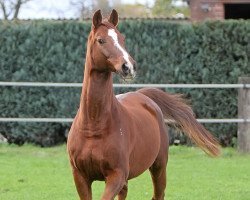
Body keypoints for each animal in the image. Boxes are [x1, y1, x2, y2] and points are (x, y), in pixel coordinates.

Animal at [67, 9, 221, 200]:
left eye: (122, 38)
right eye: (100, 40)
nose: (128, 67)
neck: (94, 127)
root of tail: (142, 95)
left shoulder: (116, 175)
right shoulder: (80, 176)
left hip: (159, 166)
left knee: (158, 194)